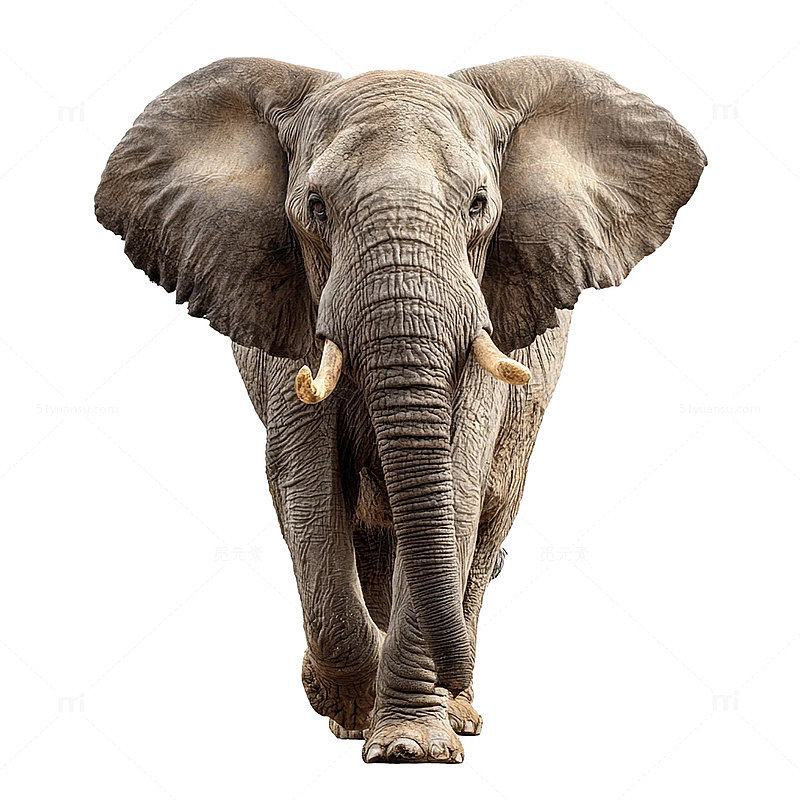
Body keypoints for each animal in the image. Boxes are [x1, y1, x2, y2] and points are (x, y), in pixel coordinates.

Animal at [95, 55, 705, 764]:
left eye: (479, 205)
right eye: (315, 208)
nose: (458, 676)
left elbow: (457, 486)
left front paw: (413, 747)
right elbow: (306, 486)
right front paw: (346, 707)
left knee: (485, 527)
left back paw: (454, 711)